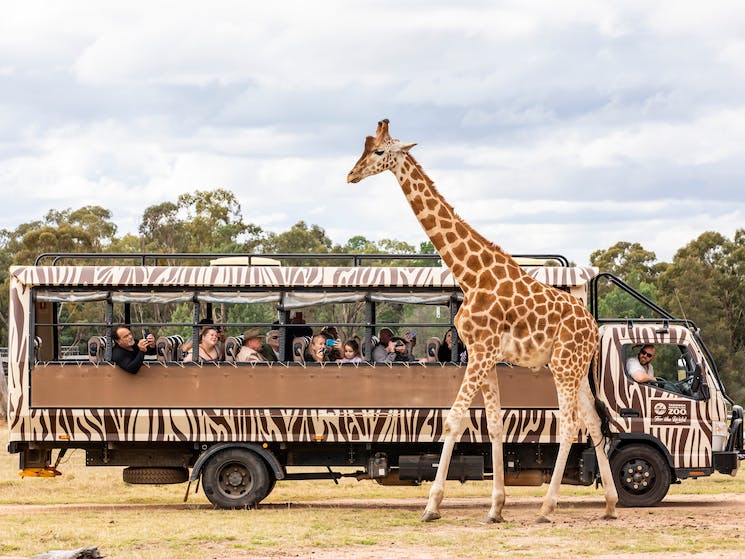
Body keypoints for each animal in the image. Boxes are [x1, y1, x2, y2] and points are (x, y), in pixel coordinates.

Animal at [346, 119, 620, 524]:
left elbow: (453, 419)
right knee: (593, 420)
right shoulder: (486, 356)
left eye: (379, 151)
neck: (470, 274)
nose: (351, 175)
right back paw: (611, 505)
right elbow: (493, 425)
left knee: (571, 424)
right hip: (575, 368)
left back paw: (546, 507)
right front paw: (495, 508)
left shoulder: (480, 352)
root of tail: (594, 329)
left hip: (562, 364)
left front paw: (431, 506)